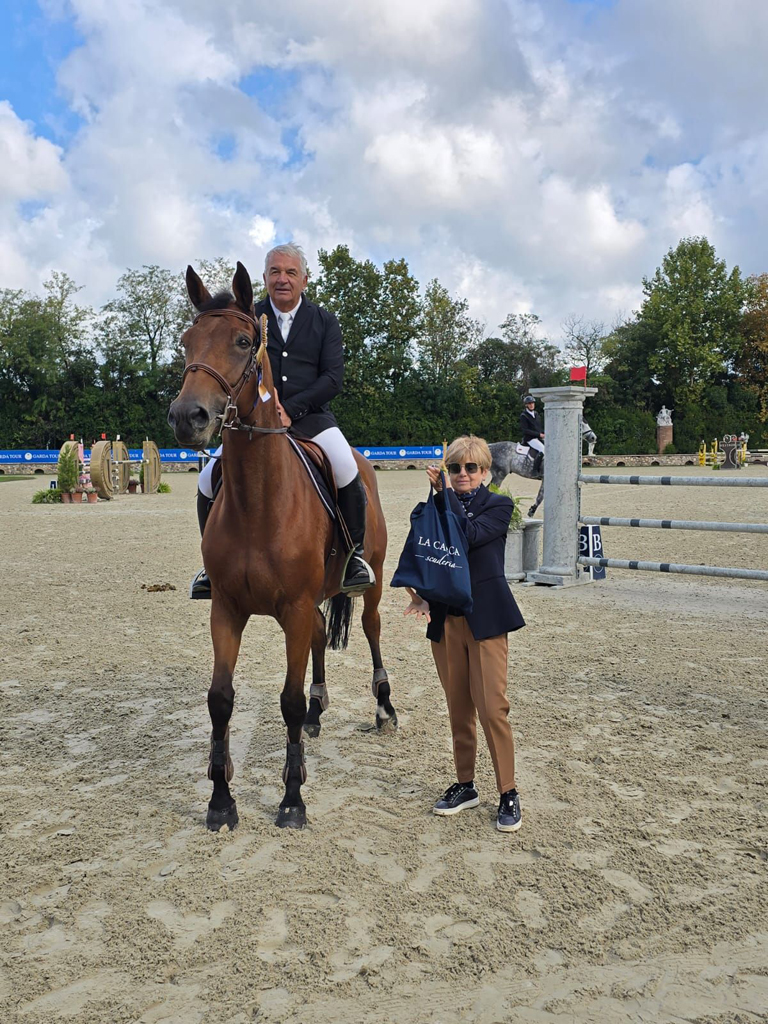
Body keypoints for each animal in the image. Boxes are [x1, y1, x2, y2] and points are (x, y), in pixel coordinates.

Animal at [167, 262, 395, 831]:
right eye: (186, 342)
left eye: (244, 341)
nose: (188, 417)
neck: (258, 500)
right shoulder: (227, 609)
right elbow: (220, 700)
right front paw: (220, 799)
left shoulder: (291, 607)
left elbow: (286, 701)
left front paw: (292, 799)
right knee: (317, 635)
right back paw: (318, 711)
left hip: (371, 583)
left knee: (371, 628)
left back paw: (385, 708)